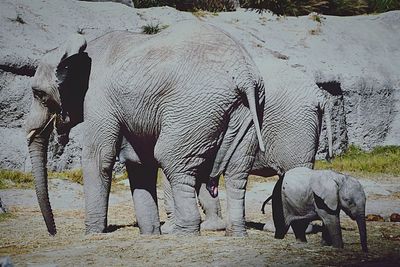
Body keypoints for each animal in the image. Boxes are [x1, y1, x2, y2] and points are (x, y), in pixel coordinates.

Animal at [27, 22, 266, 237]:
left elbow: (99, 157)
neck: (84, 51)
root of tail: (243, 72)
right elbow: (139, 163)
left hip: (195, 109)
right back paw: (235, 234)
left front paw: (92, 234)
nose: (53, 233)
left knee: (172, 159)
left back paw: (184, 234)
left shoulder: (99, 98)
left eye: (38, 94)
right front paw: (150, 234)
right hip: (247, 110)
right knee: (237, 172)